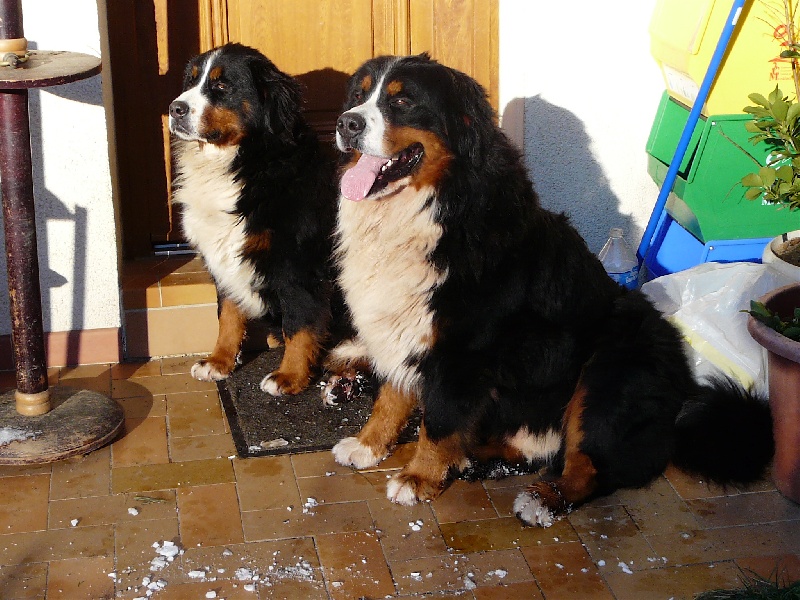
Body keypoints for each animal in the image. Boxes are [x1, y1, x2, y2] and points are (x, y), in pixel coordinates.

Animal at [326, 54, 776, 528]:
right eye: (359, 94)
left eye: (403, 101)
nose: (346, 123)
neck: (434, 208)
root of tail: (683, 397)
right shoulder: (403, 327)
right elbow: (391, 396)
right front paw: (369, 444)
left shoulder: (461, 351)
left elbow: (441, 420)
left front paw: (419, 478)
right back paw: (474, 458)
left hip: (606, 373)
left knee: (588, 466)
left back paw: (542, 498)